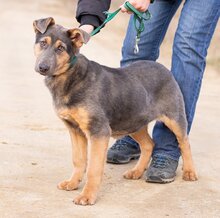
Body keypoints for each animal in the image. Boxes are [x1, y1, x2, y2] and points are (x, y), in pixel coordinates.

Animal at [32, 17, 198, 206]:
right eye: (43, 43)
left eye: (61, 48)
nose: (43, 67)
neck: (69, 77)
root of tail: (164, 68)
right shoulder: (75, 130)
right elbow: (78, 160)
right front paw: (72, 183)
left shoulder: (99, 132)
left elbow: (93, 168)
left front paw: (87, 195)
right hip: (133, 121)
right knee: (149, 144)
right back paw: (136, 171)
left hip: (174, 117)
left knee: (184, 142)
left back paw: (190, 172)